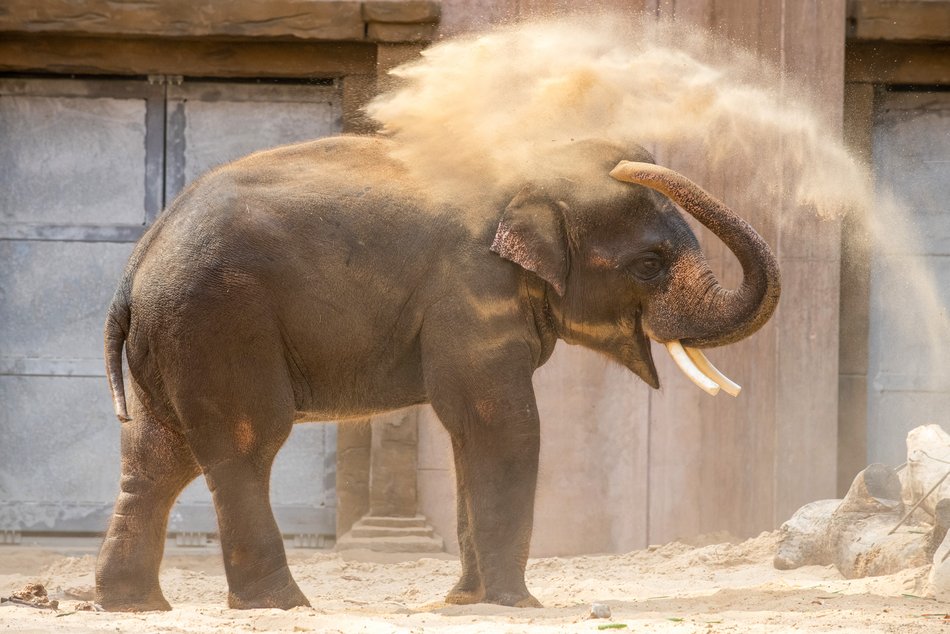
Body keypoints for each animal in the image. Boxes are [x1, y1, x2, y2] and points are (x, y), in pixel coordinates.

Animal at [95, 132, 780, 608]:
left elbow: (469, 433)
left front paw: (467, 601)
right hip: (221, 322)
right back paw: (281, 605)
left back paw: (133, 605)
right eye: (650, 264)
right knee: (244, 446)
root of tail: (137, 262)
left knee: (157, 457)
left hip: (175, 338)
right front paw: (516, 605)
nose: (631, 158)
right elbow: (501, 424)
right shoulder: (471, 289)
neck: (530, 167)